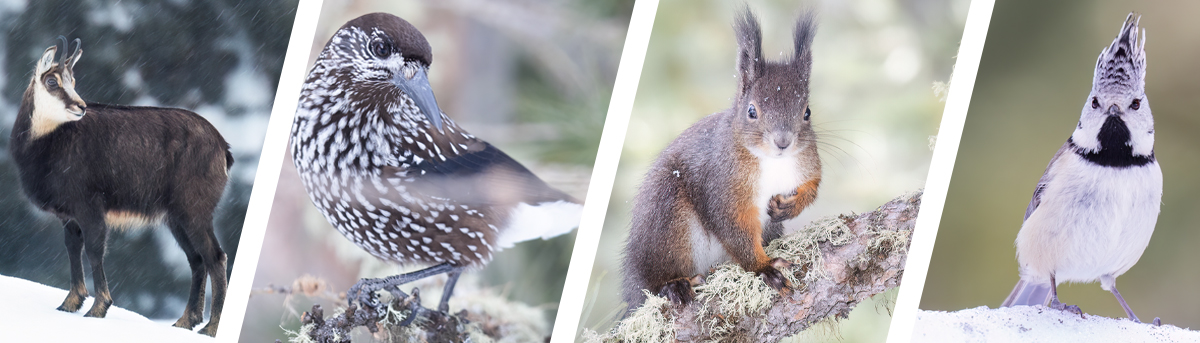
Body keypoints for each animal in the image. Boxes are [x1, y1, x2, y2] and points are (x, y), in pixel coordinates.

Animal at [624, 9, 820, 307]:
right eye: (752, 111)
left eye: (807, 112)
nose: (783, 142)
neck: (772, 161)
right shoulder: (723, 186)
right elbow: (734, 227)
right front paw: (764, 267)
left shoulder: (807, 162)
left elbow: (813, 186)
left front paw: (790, 207)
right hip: (668, 218)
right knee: (656, 279)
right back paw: (673, 285)